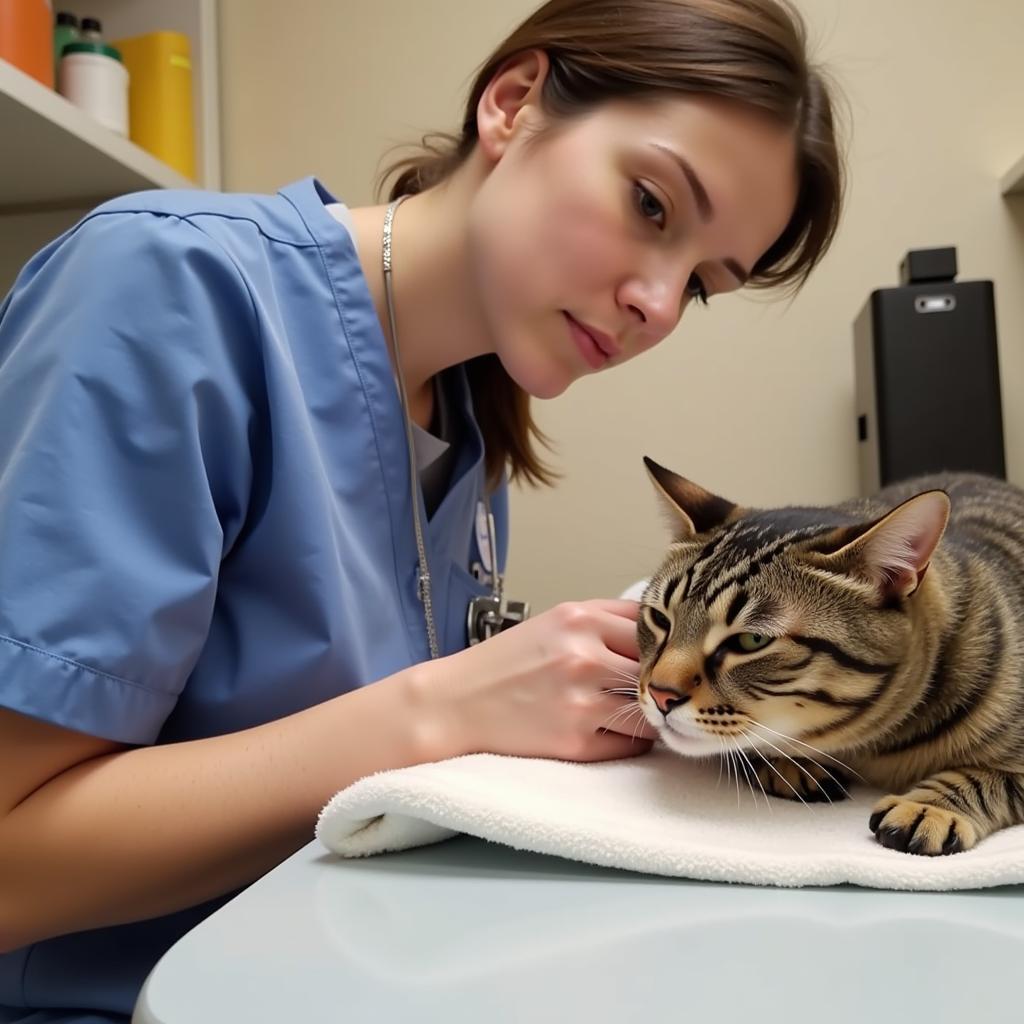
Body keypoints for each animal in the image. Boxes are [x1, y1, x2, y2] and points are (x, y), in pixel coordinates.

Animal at [634, 458, 1024, 856]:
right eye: (660, 619)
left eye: (751, 640)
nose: (660, 694)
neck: (871, 748)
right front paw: (789, 762)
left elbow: (993, 776)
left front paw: (930, 807)